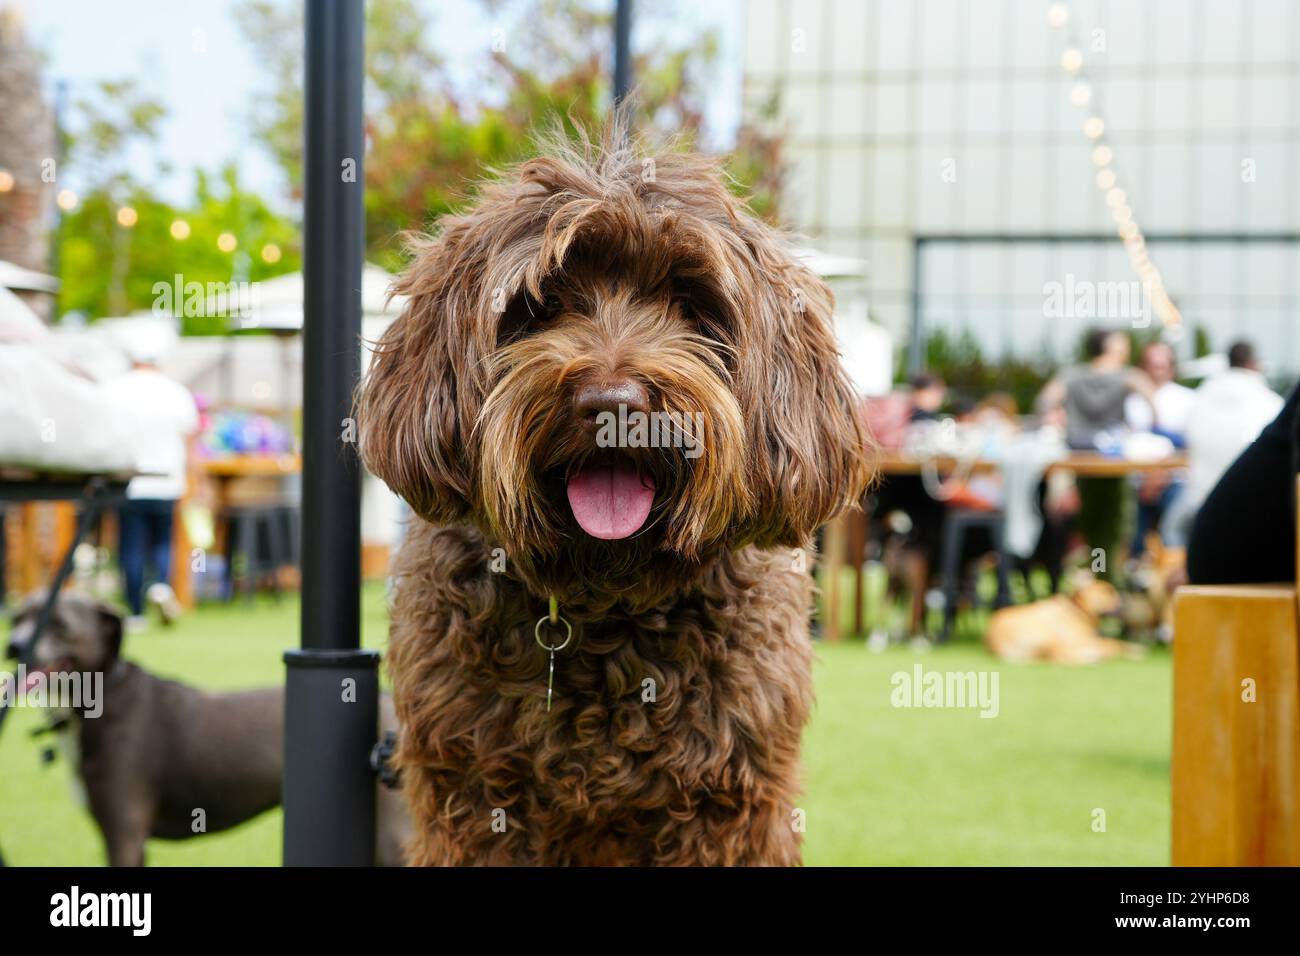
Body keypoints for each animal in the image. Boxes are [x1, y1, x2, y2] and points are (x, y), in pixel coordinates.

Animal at [5, 590, 408, 868]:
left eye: (58, 623)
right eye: (16, 617)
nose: (13, 646)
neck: (102, 694)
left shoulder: (125, 834)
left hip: (392, 835)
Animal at [353, 119, 873, 868]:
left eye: (691, 302)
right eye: (540, 304)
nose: (612, 404)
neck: (606, 602)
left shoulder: (731, 803)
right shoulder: (474, 800)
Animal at [982, 574, 1138, 665]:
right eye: (1108, 591)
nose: (1126, 598)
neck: (1079, 609)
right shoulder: (1081, 639)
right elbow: (1112, 642)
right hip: (1049, 633)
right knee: (1058, 656)